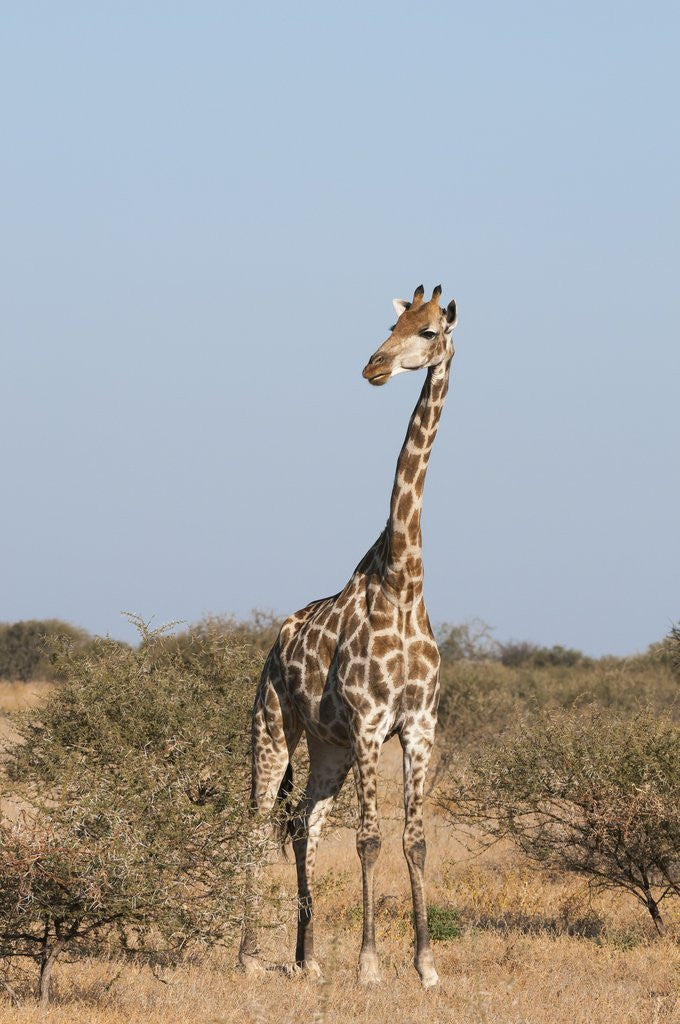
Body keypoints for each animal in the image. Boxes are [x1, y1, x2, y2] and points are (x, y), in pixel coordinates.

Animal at [239, 284, 458, 988]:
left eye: (427, 330)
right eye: (392, 324)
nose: (373, 366)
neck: (405, 582)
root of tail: (273, 647)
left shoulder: (418, 725)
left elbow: (414, 840)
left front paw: (426, 967)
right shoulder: (369, 721)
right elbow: (369, 840)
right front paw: (368, 967)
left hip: (327, 747)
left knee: (303, 823)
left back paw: (306, 959)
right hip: (274, 728)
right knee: (256, 826)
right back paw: (248, 956)